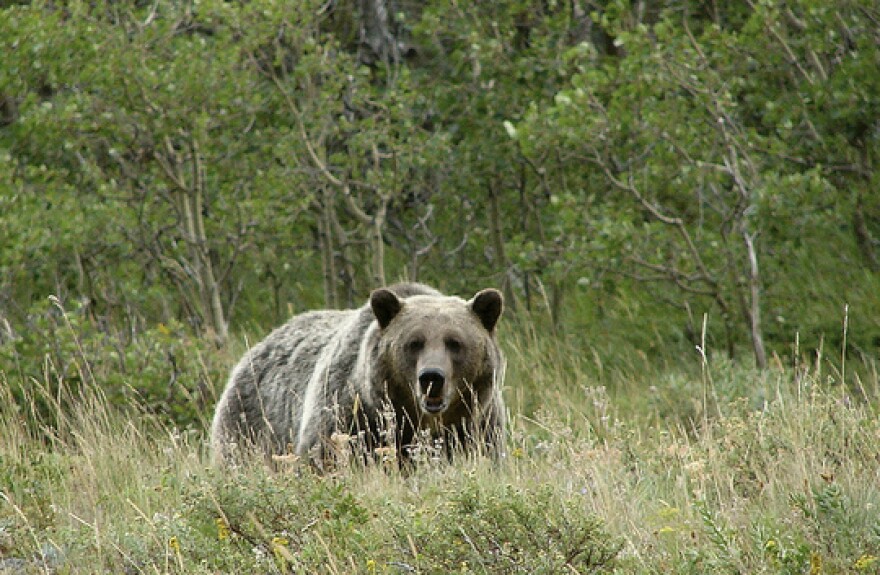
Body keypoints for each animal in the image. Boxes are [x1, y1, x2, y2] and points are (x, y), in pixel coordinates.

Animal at [209, 284, 506, 468]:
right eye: (414, 343)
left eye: (455, 342)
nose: (431, 377)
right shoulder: (350, 414)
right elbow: (323, 456)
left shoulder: (477, 425)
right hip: (250, 423)